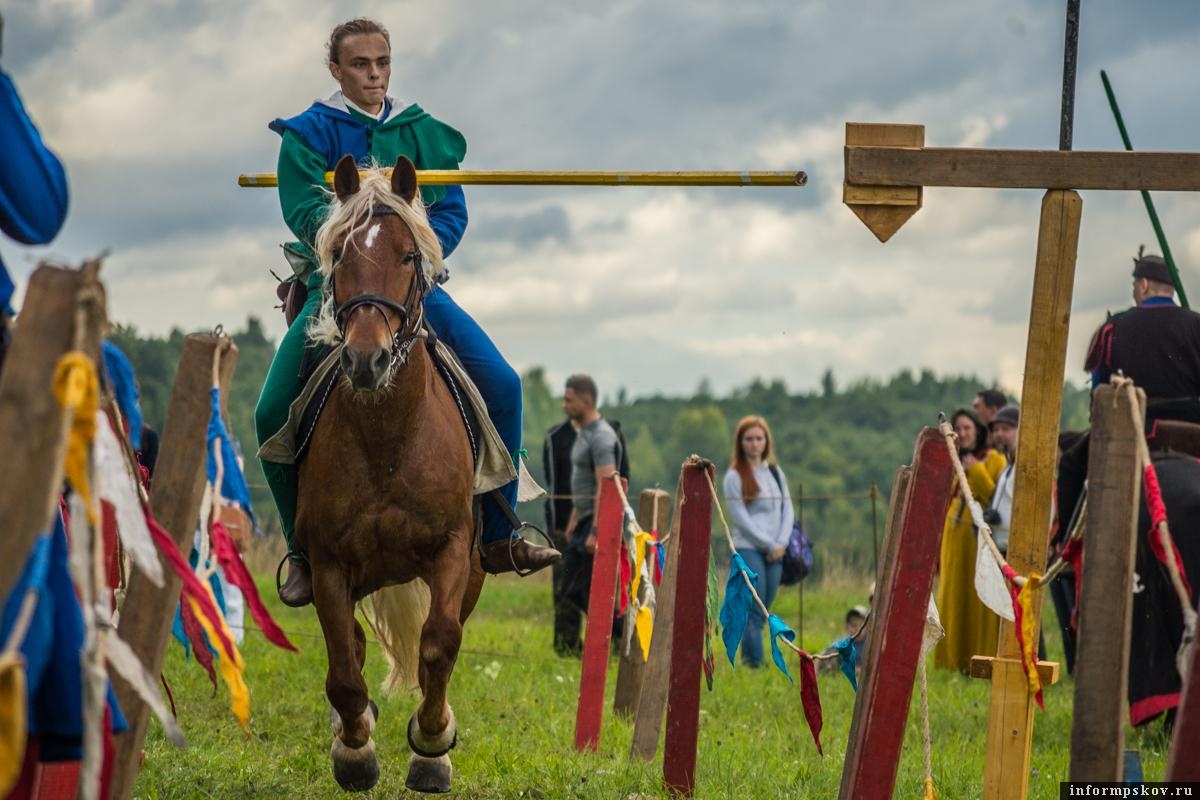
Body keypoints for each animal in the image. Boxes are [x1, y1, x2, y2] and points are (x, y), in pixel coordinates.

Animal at [295, 153, 482, 791]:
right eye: (339, 254)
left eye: (406, 255)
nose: (365, 358)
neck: (389, 440)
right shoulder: (327, 562)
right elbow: (344, 670)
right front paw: (355, 751)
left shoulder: (452, 547)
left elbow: (440, 644)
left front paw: (432, 744)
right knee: (351, 648)